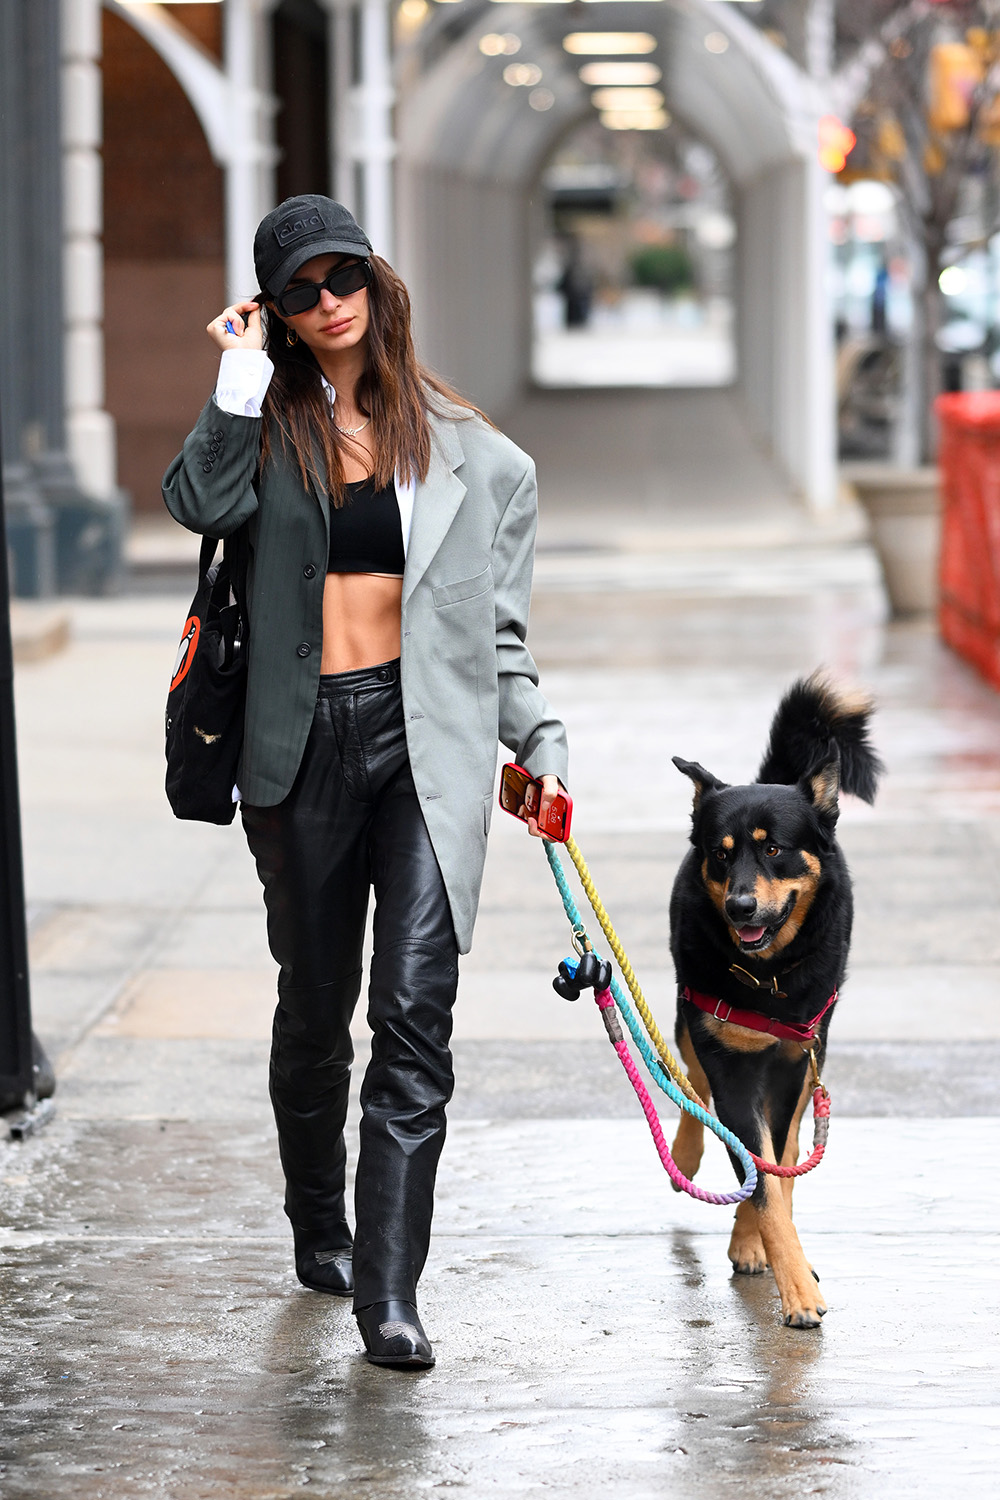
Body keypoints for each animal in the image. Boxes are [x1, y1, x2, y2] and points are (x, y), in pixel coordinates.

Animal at [668, 678, 881, 1326]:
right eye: (721, 853)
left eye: (774, 850)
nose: (739, 907)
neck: (768, 978)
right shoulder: (729, 1057)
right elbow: (756, 1170)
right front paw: (796, 1286)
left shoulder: (793, 1060)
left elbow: (773, 1168)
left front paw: (779, 1261)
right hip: (692, 1019)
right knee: (692, 1081)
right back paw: (688, 1157)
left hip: (813, 1052)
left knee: (785, 1146)